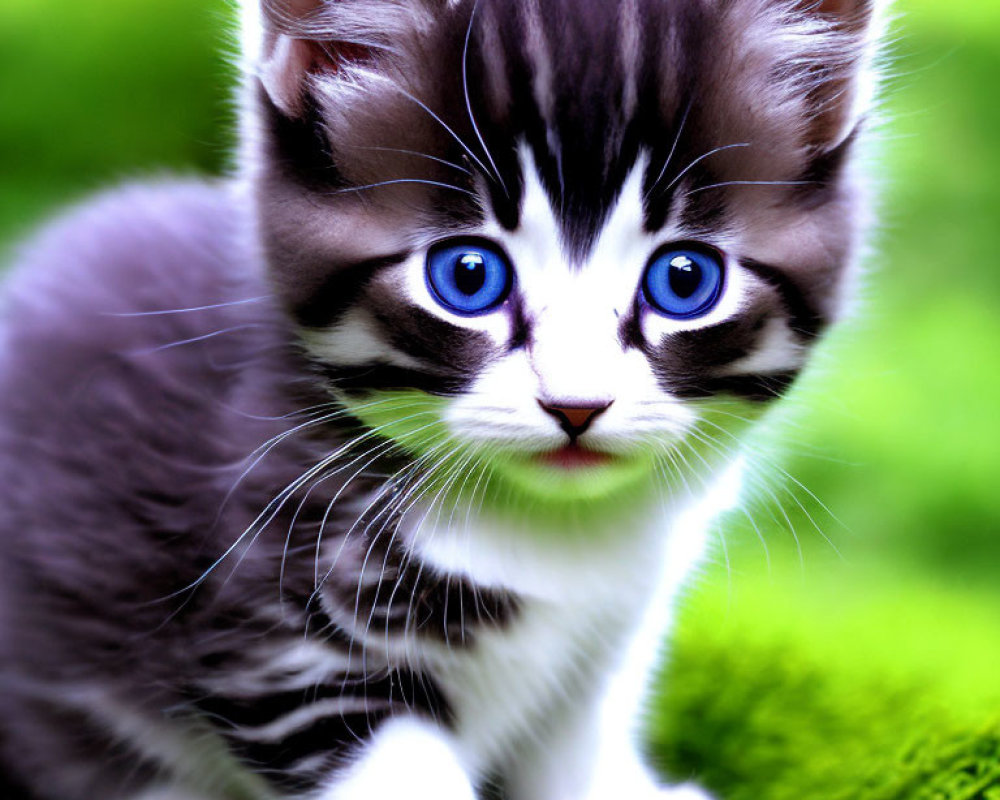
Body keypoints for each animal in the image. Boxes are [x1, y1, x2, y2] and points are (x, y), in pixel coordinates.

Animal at [0, 1, 876, 800]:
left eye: (684, 281)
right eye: (467, 275)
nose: (577, 404)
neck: (551, 533)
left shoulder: (611, 637)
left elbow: (578, 746)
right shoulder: (275, 642)